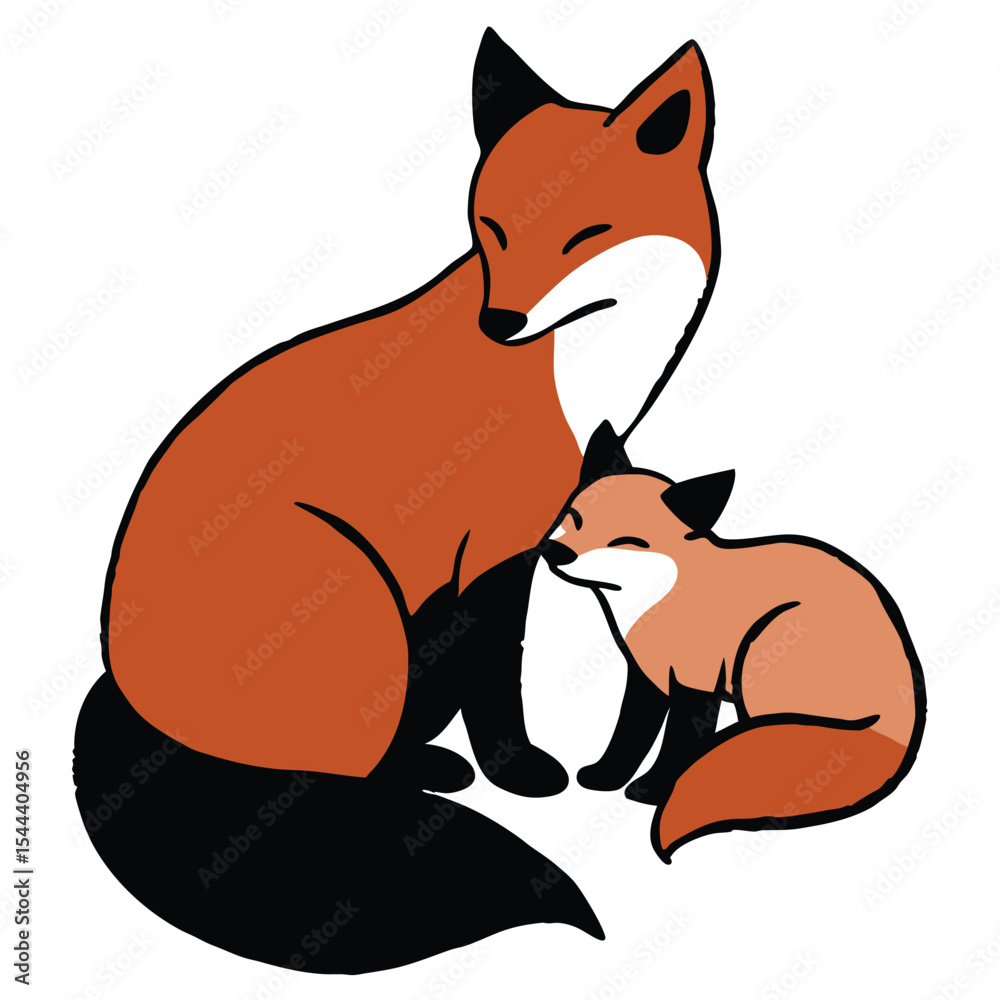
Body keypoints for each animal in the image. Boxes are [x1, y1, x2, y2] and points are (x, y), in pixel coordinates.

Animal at [74, 30, 719, 971]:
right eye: (492, 230)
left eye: (585, 235)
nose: (500, 323)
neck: (576, 368)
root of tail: (119, 684)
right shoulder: (499, 546)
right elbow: (498, 678)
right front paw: (517, 771)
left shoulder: (511, 547)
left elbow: (486, 663)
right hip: (358, 596)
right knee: (331, 773)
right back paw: (428, 775)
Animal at [539, 423, 926, 863]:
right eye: (574, 518)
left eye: (626, 541)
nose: (556, 550)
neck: (660, 597)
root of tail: (897, 727)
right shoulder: (647, 676)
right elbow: (629, 734)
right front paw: (606, 778)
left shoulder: (695, 680)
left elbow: (678, 743)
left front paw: (652, 790)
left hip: (763, 647)